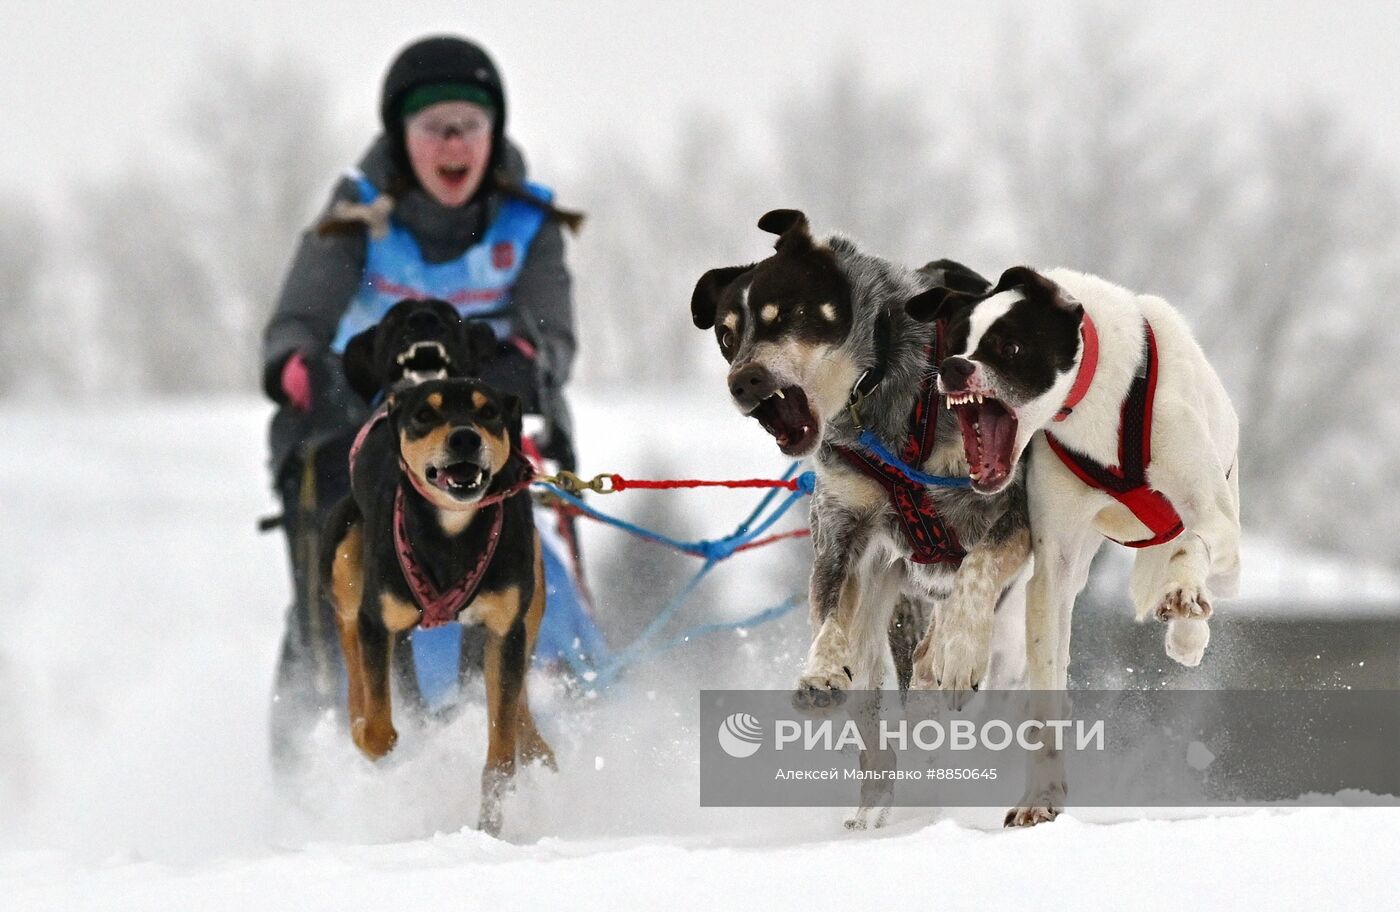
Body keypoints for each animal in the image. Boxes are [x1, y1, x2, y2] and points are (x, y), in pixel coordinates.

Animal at [320, 375, 551, 834]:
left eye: (488, 411)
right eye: (426, 414)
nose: (465, 437)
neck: (451, 533)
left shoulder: (505, 628)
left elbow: (501, 756)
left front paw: (490, 827)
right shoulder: (378, 620)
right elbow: (379, 732)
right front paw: (366, 733)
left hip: (532, 595)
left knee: (517, 696)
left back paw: (536, 747)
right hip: (345, 559)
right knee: (352, 653)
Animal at [912, 266, 1243, 829]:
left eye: (1011, 346)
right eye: (955, 343)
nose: (954, 368)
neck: (1098, 407)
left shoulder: (1216, 520)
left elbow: (1193, 542)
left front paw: (1181, 592)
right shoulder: (1055, 566)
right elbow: (1046, 692)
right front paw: (1040, 798)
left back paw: (1187, 629)